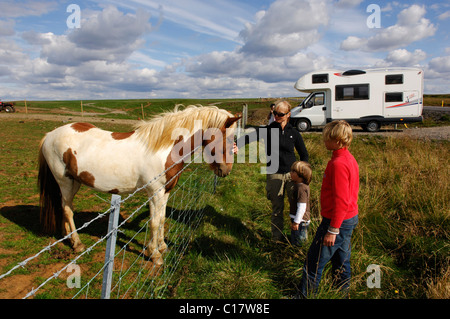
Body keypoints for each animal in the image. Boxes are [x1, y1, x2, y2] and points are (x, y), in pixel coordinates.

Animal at [39, 105, 241, 264]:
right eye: (229, 139)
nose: (226, 170)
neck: (165, 148)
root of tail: (50, 135)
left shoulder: (165, 191)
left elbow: (162, 218)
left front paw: (162, 246)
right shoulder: (154, 192)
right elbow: (154, 221)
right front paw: (154, 254)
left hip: (74, 182)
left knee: (65, 208)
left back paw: (68, 238)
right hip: (65, 182)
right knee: (67, 210)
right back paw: (77, 243)